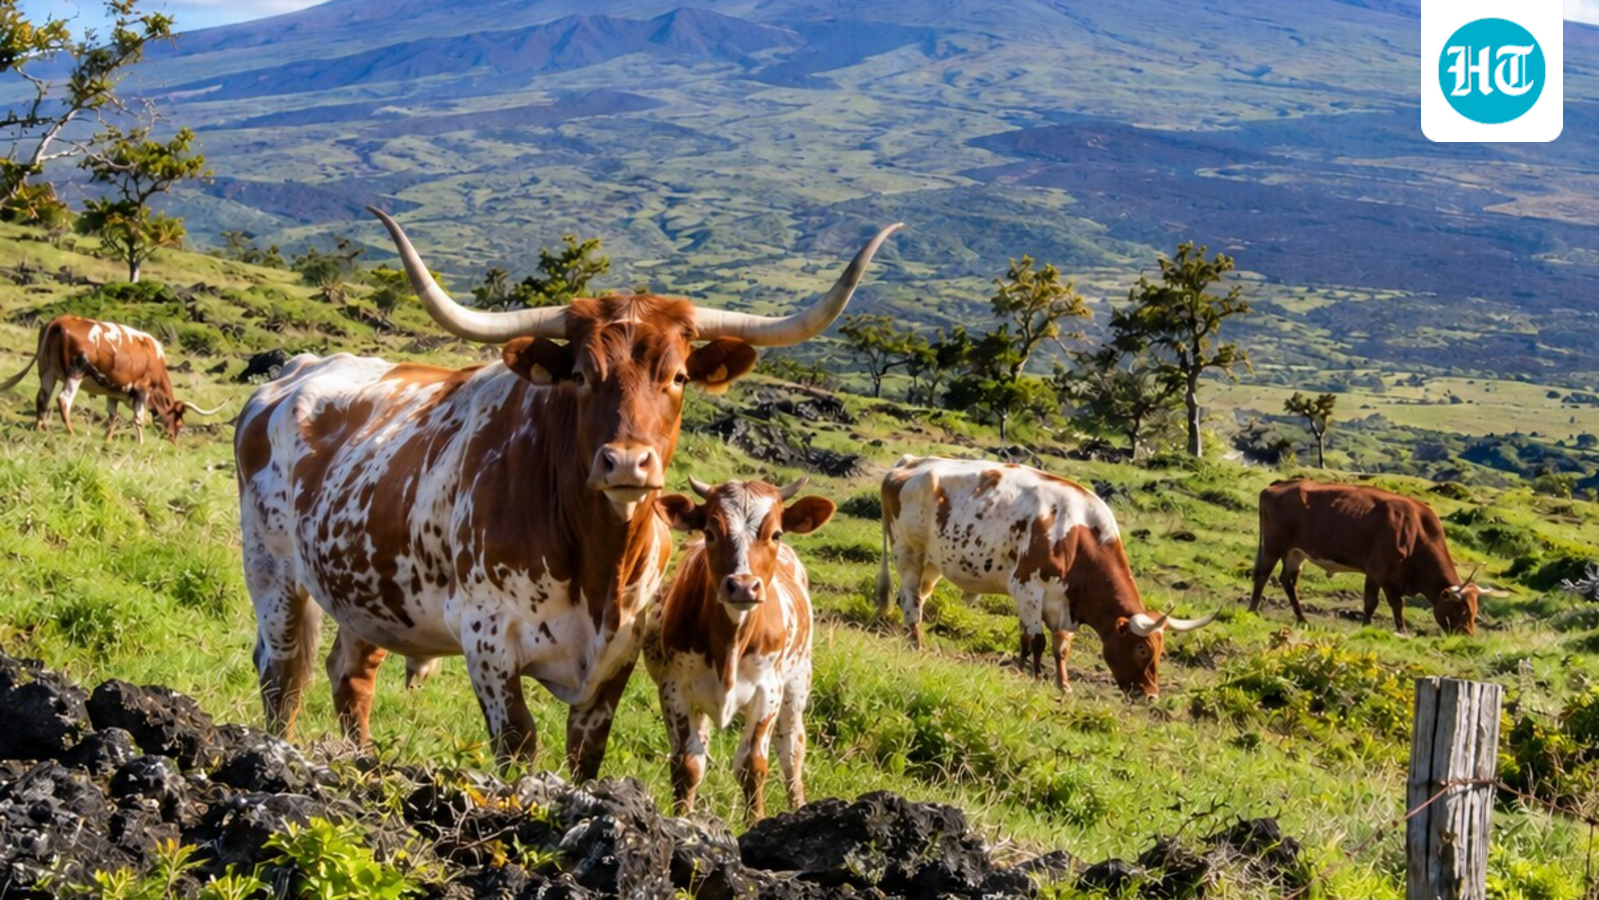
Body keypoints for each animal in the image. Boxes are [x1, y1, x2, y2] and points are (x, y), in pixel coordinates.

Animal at [0, 314, 224, 442]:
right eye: (179, 420)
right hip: (75, 373)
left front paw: (107, 439)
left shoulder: (114, 392)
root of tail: (59, 320)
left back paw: (40, 427)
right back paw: (70, 431)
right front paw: (140, 443)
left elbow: (112, 417)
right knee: (63, 400)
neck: (154, 359)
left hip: (48, 372)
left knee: (42, 398)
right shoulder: (142, 390)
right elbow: (138, 418)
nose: (174, 441)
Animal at [234, 206, 898, 776]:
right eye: (580, 373)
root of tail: (296, 371)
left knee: (350, 675)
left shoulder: (619, 652)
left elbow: (587, 752)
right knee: (280, 674)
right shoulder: (488, 640)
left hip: (370, 596)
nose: (626, 461)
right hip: (272, 573)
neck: (596, 561)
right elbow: (518, 743)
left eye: (679, 376)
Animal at [644, 477, 832, 820]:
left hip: (798, 684)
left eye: (775, 533)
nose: (743, 586)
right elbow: (687, 765)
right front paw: (682, 819)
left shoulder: (768, 692)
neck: (729, 644)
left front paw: (755, 820)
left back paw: (799, 805)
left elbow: (752, 765)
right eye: (710, 532)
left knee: (792, 751)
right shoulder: (674, 688)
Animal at [874, 455, 1214, 697]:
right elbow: (1036, 639)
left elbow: (1055, 645)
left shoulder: (1061, 602)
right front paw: (1035, 677)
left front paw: (1059, 683)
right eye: (1142, 649)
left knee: (918, 596)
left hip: (933, 563)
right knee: (910, 600)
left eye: (1161, 650)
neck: (1078, 535)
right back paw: (916, 644)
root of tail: (910, 462)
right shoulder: (1027, 586)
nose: (1151, 696)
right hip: (908, 553)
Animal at [1248, 479, 1499, 635]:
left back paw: (1302, 619)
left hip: (1295, 552)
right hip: (1273, 545)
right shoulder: (1380, 571)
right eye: (1462, 610)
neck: (1417, 532)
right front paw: (1384, 628)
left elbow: (1384, 603)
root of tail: (1279, 485)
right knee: (1262, 574)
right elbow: (1381, 603)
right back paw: (1252, 611)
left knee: (1288, 581)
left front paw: (1384, 628)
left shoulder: (1386, 575)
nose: (1467, 635)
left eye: (1475, 610)